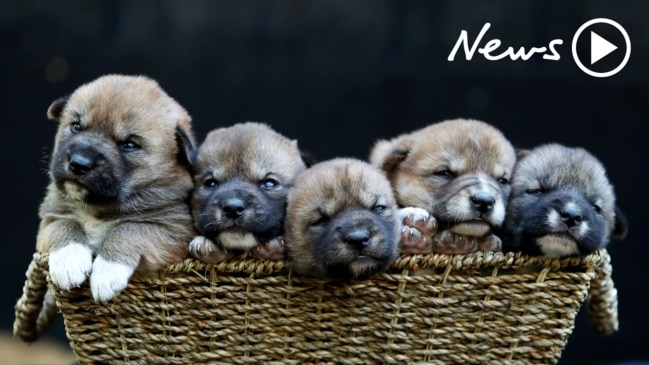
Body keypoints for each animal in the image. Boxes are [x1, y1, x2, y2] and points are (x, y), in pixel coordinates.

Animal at [36, 74, 195, 302]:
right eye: (76, 126)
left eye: (129, 145)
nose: (79, 163)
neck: (96, 209)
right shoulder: (47, 221)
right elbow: (64, 224)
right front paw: (69, 262)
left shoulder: (174, 231)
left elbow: (128, 230)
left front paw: (106, 273)